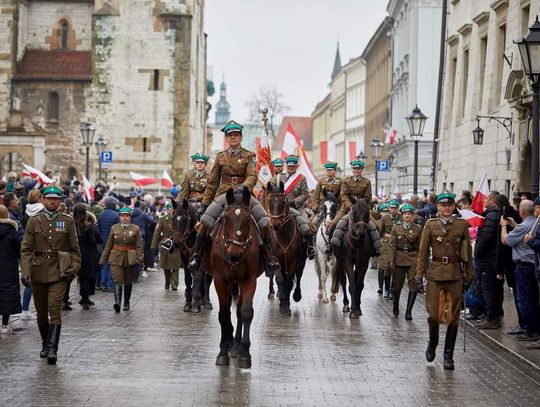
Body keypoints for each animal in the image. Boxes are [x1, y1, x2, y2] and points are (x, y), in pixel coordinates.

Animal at [201, 188, 262, 370]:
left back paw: (235, 345)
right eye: (225, 218)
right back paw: (229, 343)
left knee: (239, 310)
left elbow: (246, 312)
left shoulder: (249, 280)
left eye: (248, 218)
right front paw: (222, 352)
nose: (235, 254)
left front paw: (245, 353)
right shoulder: (220, 281)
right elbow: (223, 314)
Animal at [266, 183, 306, 318]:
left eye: (282, 201)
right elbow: (280, 280)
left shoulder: (294, 262)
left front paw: (286, 305)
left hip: (302, 263)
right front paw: (283, 302)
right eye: (270, 201)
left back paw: (297, 295)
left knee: (298, 277)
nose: (275, 224)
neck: (284, 236)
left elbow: (289, 282)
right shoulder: (276, 260)